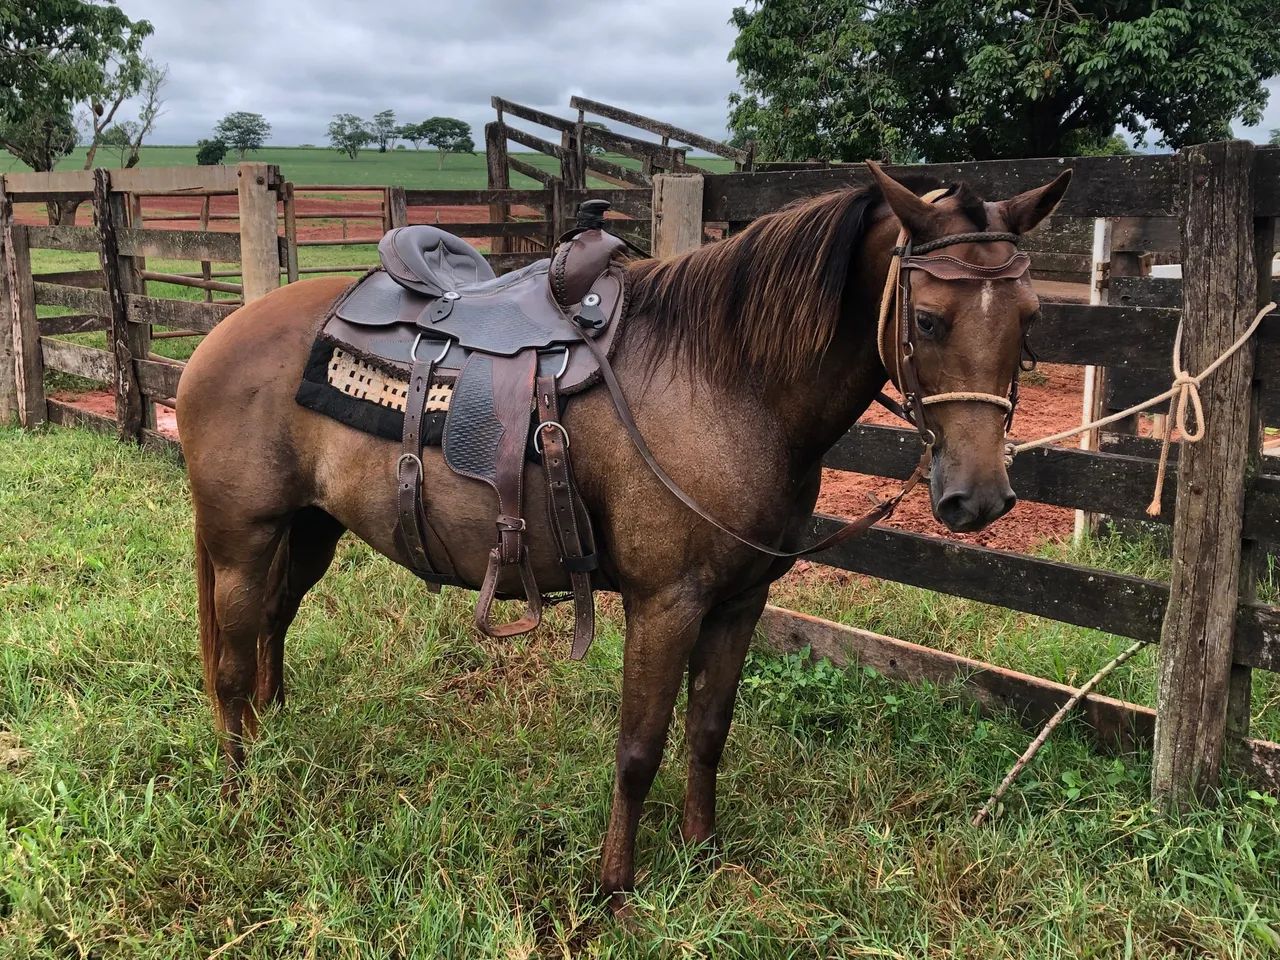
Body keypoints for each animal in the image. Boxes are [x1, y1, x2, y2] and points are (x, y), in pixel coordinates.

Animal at [176, 162, 1071, 906]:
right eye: (929, 319)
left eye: (1030, 318)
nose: (980, 497)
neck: (723, 382)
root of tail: (219, 337)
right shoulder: (665, 604)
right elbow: (639, 749)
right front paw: (614, 888)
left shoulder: (740, 602)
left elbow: (709, 730)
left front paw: (702, 851)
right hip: (241, 537)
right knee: (232, 659)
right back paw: (241, 792)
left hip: (308, 530)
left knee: (273, 628)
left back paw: (275, 739)